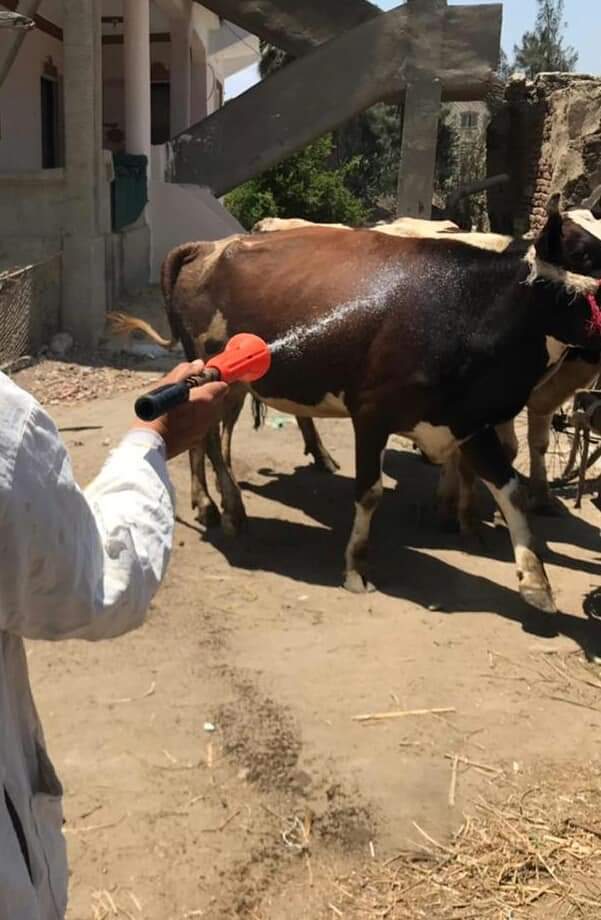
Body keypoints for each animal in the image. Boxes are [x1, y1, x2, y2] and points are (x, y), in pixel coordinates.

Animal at [112, 199, 601, 614]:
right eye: (585, 254)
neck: (463, 309)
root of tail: (208, 246)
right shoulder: (372, 413)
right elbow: (369, 492)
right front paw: (356, 568)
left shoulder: (467, 419)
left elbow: (510, 488)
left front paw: (535, 581)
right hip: (220, 374)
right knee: (211, 442)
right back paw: (225, 508)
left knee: (209, 438)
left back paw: (217, 503)